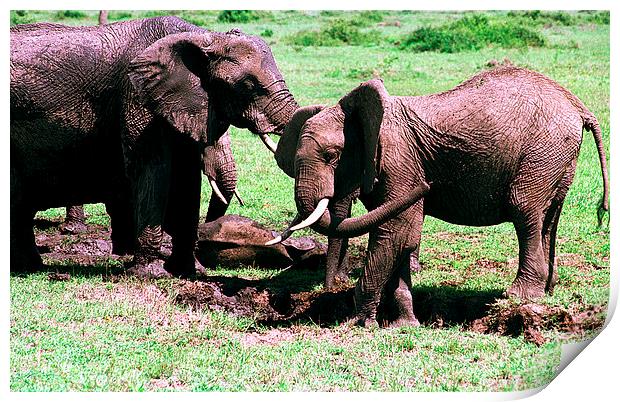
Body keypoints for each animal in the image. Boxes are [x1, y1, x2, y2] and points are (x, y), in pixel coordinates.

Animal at [10, 17, 298, 278]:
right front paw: (150, 274)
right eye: (248, 85)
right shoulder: (136, 96)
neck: (204, 37)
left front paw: (189, 272)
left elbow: (186, 178)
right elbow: (152, 169)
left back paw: (30, 267)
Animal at [272, 66, 612, 328]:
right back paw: (547, 290)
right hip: (558, 158)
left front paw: (358, 323)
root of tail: (576, 104)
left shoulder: (400, 163)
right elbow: (401, 236)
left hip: (542, 153)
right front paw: (404, 325)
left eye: (332, 156)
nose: (428, 185)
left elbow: (393, 232)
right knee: (548, 219)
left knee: (525, 212)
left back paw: (519, 296)